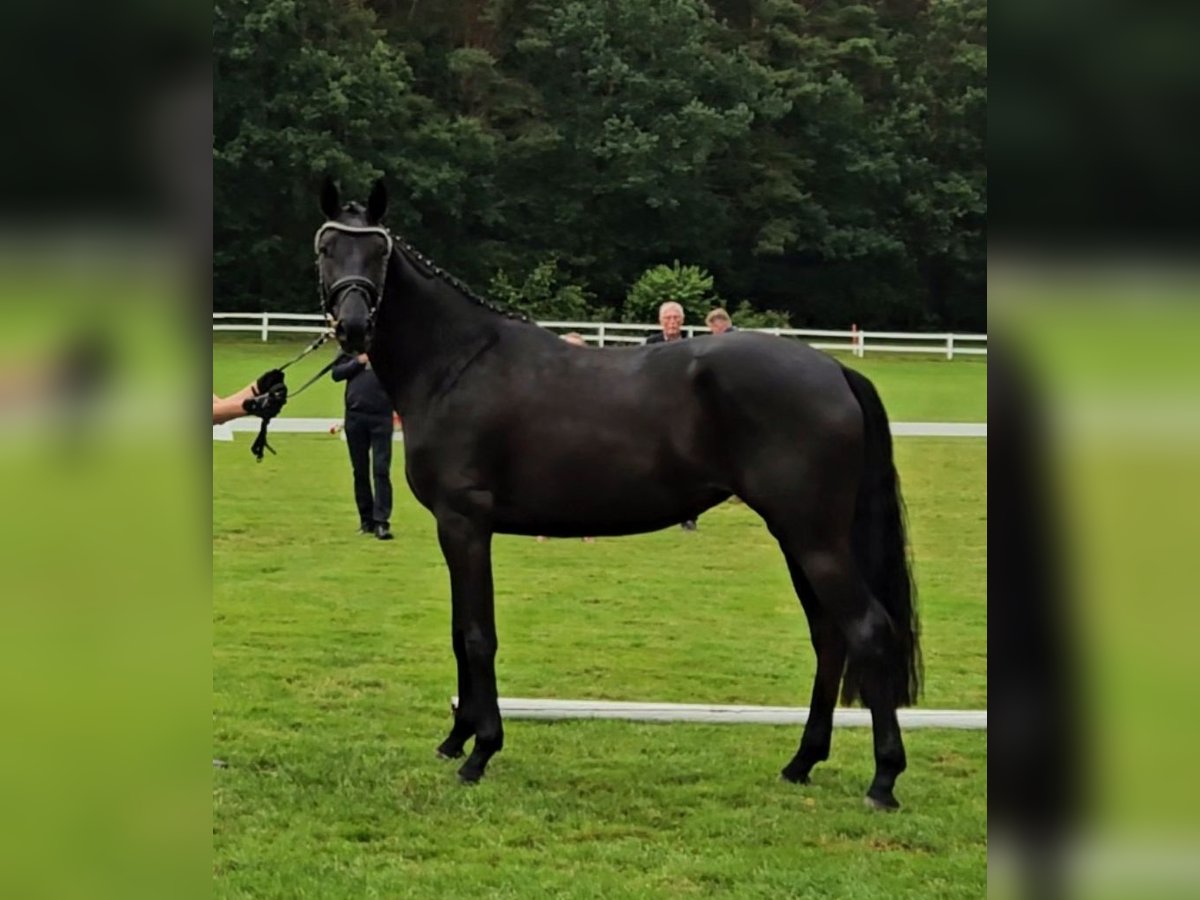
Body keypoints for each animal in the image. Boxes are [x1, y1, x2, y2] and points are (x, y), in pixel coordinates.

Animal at [314, 180, 921, 816]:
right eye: (327, 248)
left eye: (377, 253)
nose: (353, 326)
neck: (457, 362)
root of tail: (834, 370)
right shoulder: (458, 530)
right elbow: (461, 633)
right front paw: (456, 739)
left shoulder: (464, 523)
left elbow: (478, 636)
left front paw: (480, 752)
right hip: (799, 536)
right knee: (829, 636)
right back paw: (802, 762)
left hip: (814, 537)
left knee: (867, 630)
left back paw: (883, 779)